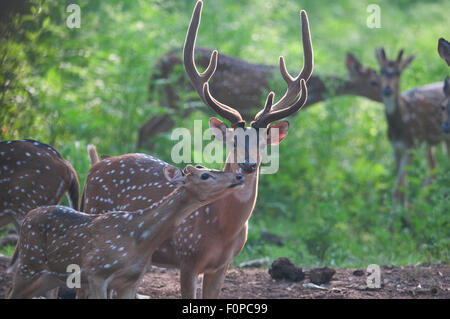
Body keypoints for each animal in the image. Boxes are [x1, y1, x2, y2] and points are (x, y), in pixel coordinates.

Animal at [7, 165, 244, 300]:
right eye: (205, 175)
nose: (239, 177)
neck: (138, 238)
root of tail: (28, 216)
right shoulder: (96, 273)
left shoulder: (130, 281)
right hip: (28, 263)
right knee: (11, 292)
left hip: (50, 276)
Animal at [81, 0, 312, 300]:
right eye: (233, 141)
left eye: (263, 143)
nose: (248, 165)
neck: (220, 229)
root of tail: (94, 166)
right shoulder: (187, 257)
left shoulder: (222, 266)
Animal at [372, 48, 450, 208]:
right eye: (381, 70)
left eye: (398, 72)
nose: (387, 89)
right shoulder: (396, 148)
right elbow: (403, 186)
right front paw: (404, 211)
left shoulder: (411, 145)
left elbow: (398, 189)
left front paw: (400, 214)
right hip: (433, 141)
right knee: (433, 168)